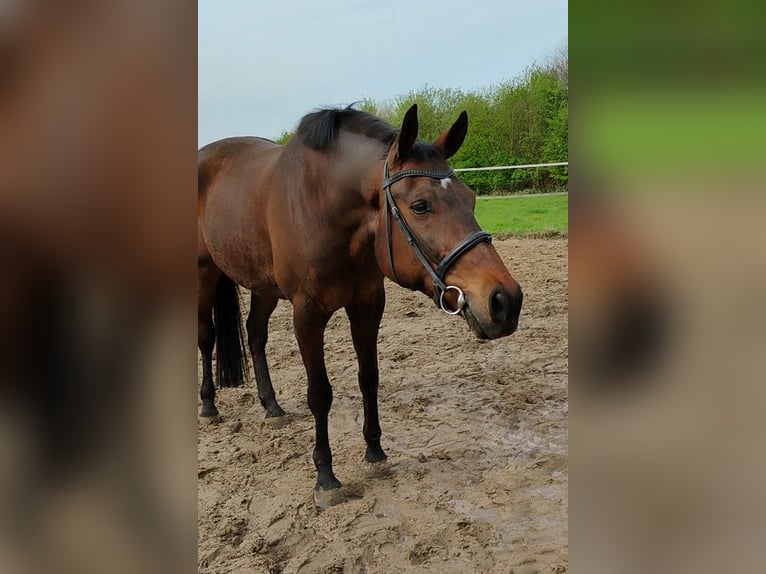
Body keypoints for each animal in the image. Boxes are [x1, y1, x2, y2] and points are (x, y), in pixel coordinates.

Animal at [198, 103, 523, 494]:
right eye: (420, 206)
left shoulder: (368, 304)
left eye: (471, 199)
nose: (505, 300)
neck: (323, 205)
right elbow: (320, 393)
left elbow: (369, 377)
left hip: (262, 285)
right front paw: (325, 474)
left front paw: (375, 452)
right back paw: (209, 406)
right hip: (203, 273)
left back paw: (271, 406)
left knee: (255, 334)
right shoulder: (307, 314)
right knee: (207, 337)